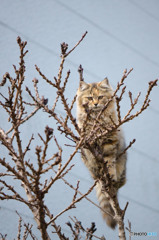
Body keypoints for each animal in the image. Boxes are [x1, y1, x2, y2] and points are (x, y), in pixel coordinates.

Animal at [76, 79, 127, 229]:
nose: (95, 104)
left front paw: (110, 174)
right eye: (89, 98)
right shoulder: (88, 144)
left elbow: (109, 163)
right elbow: (95, 157)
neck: (95, 120)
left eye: (100, 97)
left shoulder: (110, 143)